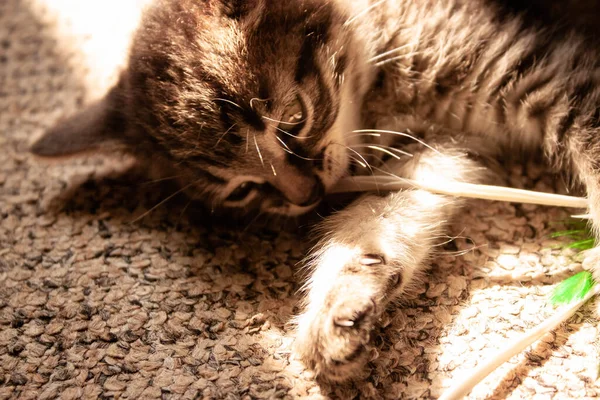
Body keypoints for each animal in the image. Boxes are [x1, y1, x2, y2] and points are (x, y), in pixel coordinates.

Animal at [30, 0, 600, 382]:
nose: (305, 195)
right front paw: (342, 299)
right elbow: (383, 217)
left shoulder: (545, 72)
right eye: (241, 190)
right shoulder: (438, 150)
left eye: (292, 121)